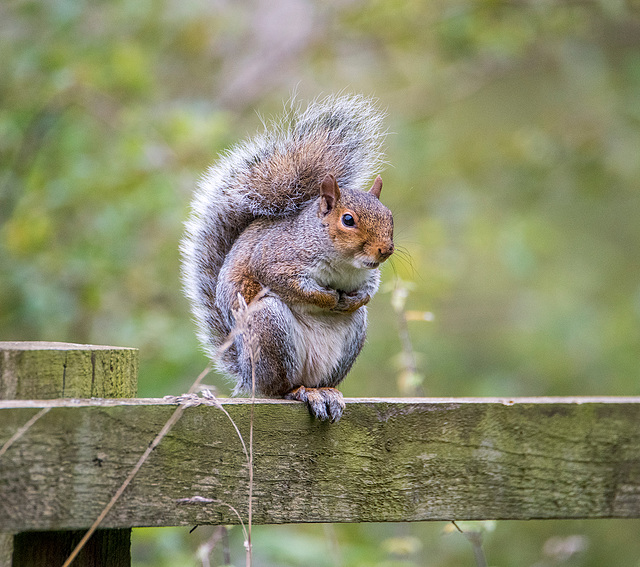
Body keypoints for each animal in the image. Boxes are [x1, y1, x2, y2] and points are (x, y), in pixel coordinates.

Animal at [178, 94, 392, 422]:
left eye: (390, 216)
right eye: (348, 220)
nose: (386, 250)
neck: (344, 263)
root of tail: (248, 376)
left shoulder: (368, 274)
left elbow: (368, 290)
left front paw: (353, 299)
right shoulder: (275, 259)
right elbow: (291, 284)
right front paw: (329, 298)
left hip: (350, 337)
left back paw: (325, 391)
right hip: (269, 327)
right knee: (280, 388)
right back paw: (299, 392)